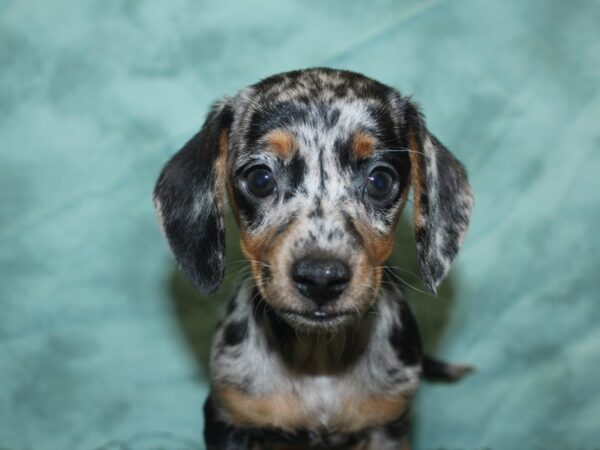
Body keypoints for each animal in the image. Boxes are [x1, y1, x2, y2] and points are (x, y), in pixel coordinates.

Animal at [155, 67, 474, 450]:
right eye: (260, 179)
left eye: (380, 181)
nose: (321, 278)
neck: (319, 362)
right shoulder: (228, 420)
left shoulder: (387, 427)